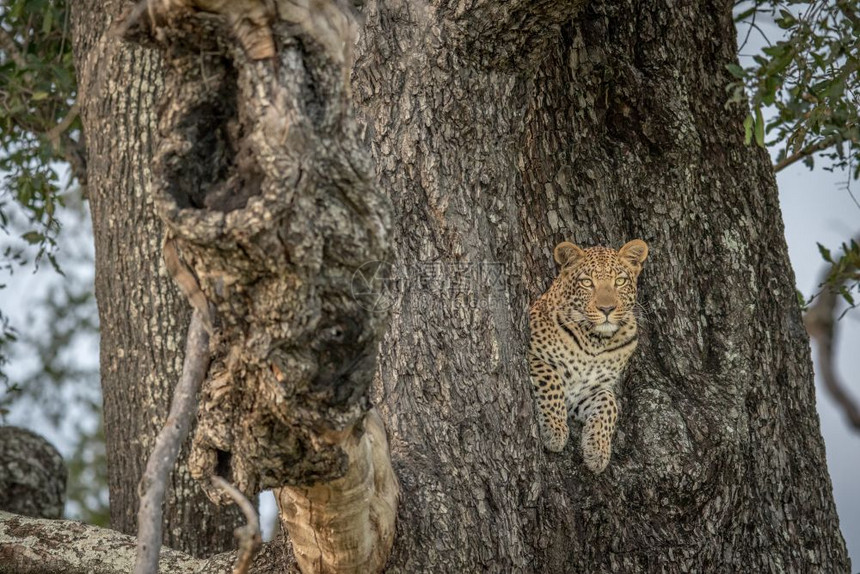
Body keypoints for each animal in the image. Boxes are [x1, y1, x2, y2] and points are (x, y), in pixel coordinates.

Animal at [528, 241, 648, 474]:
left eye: (620, 281)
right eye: (587, 283)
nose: (607, 309)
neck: (596, 342)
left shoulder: (589, 390)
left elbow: (610, 404)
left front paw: (597, 451)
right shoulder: (532, 354)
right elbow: (552, 379)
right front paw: (555, 431)